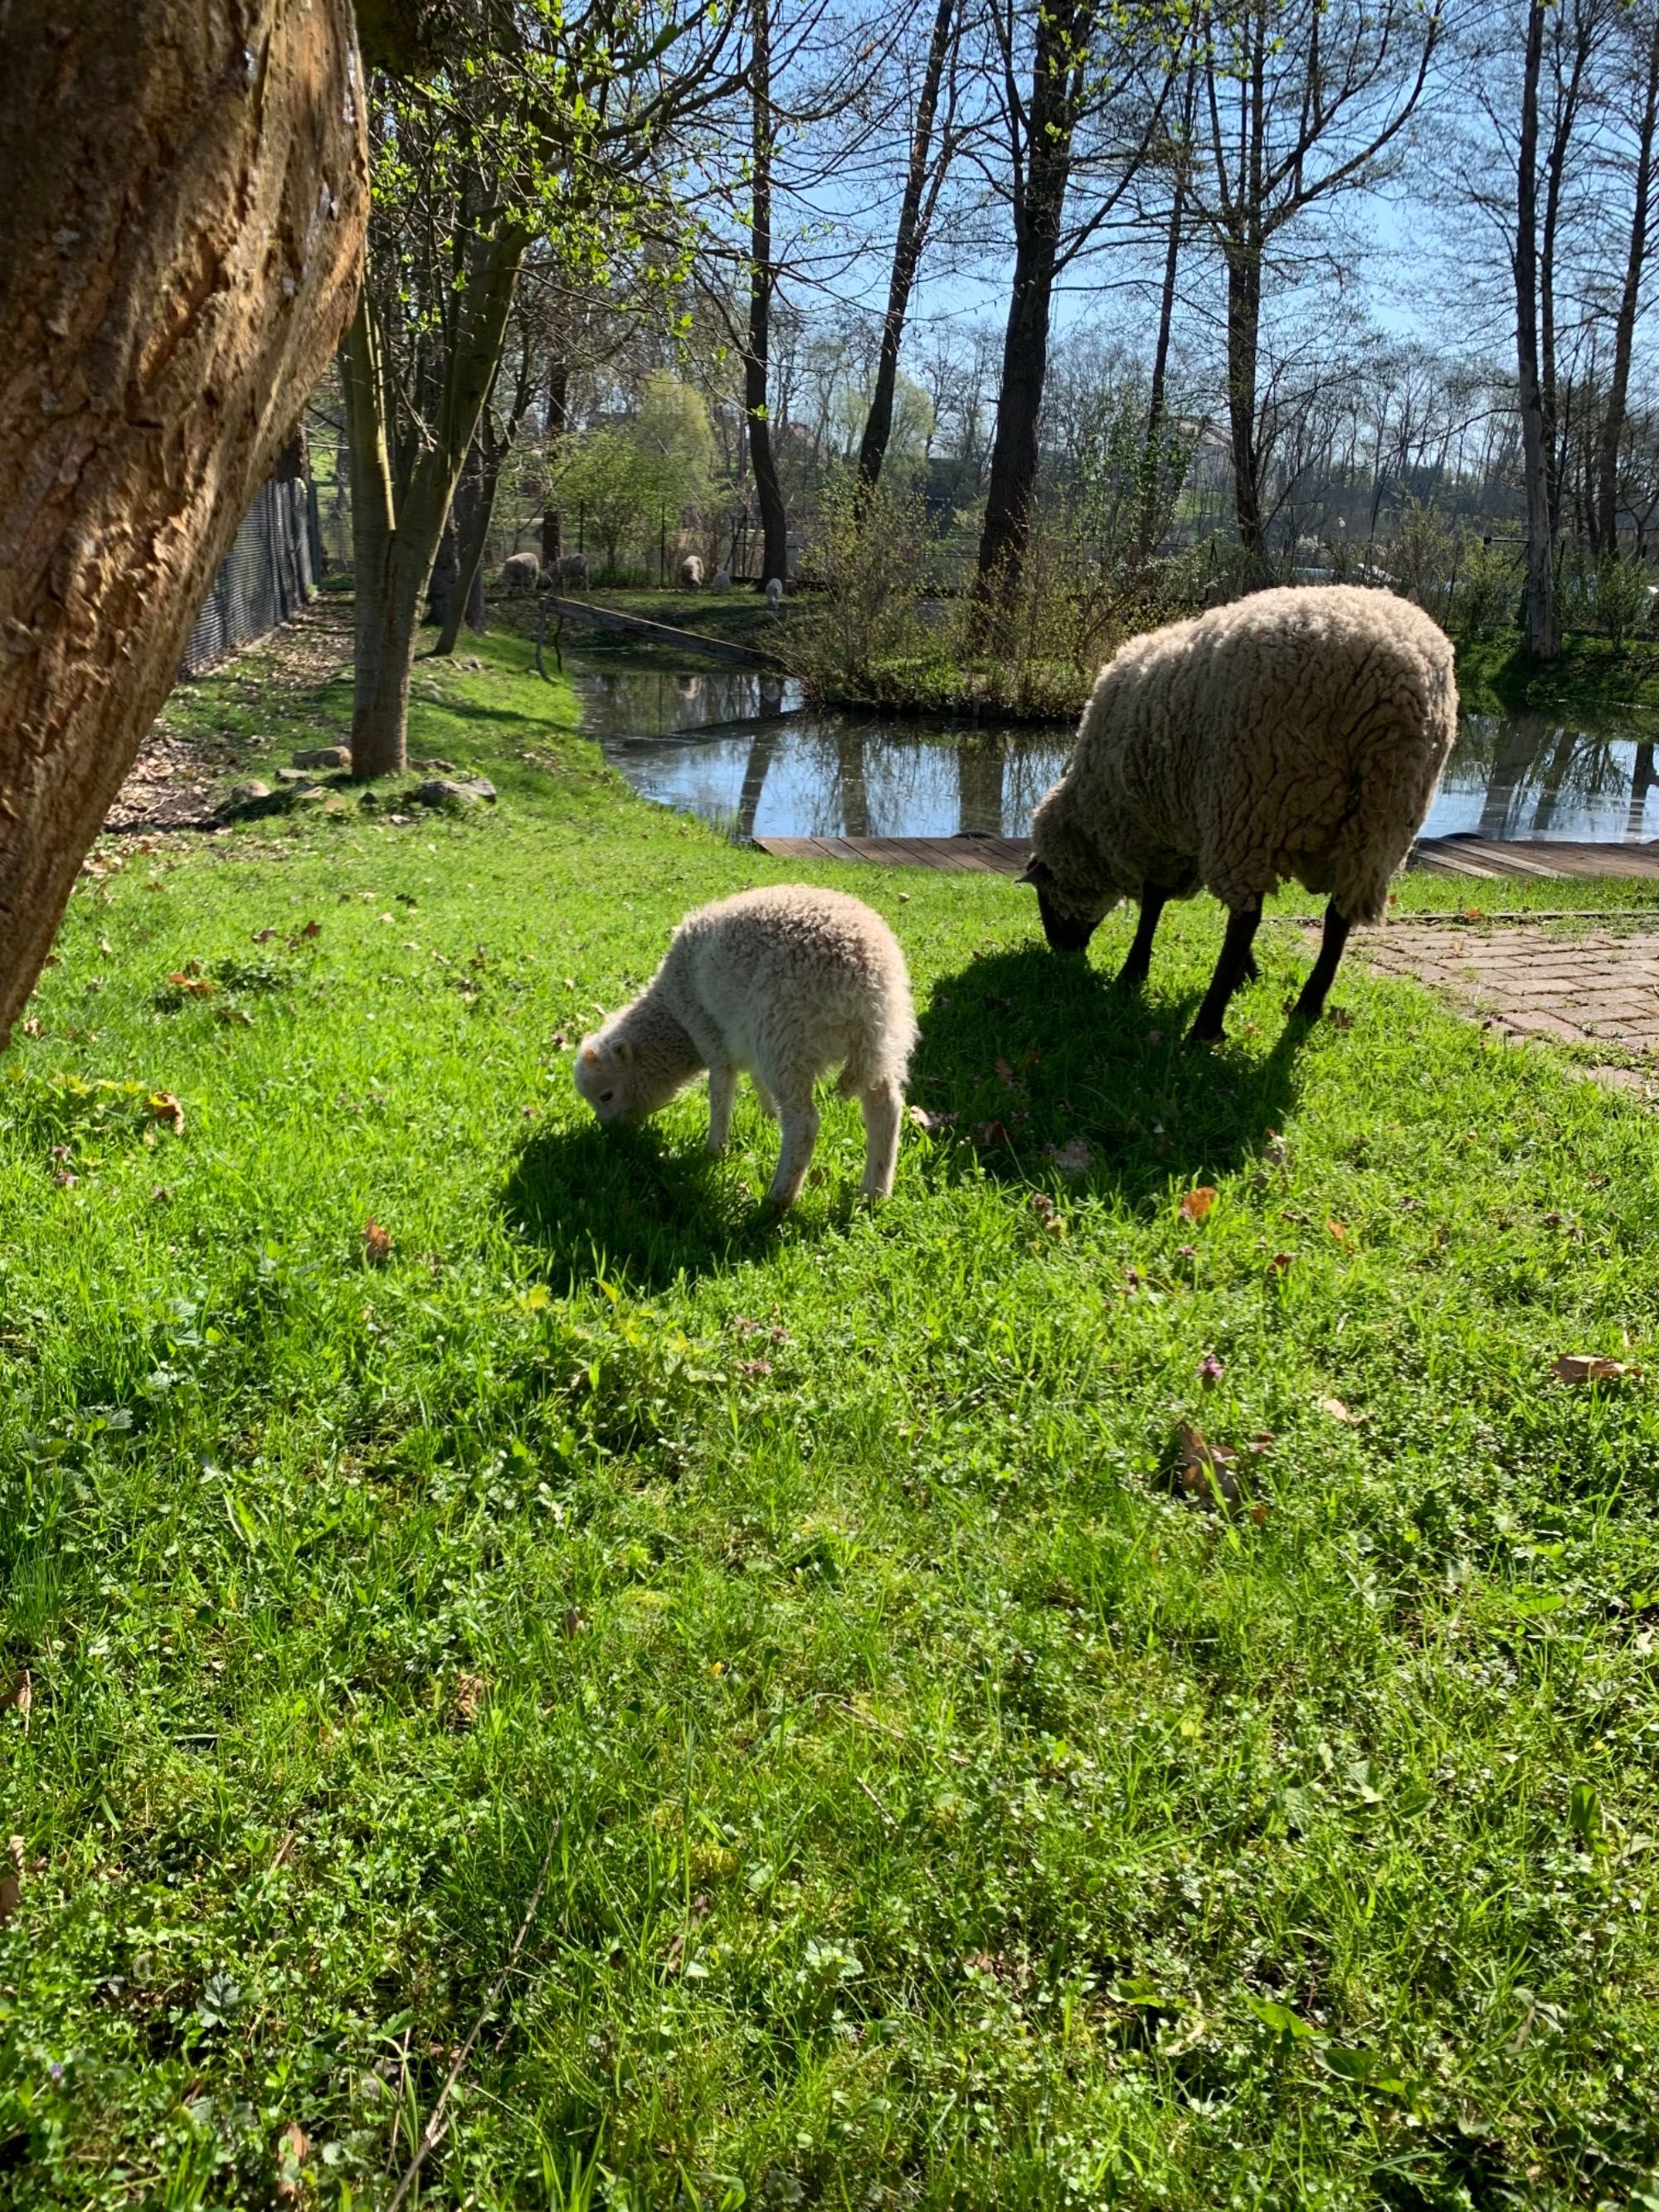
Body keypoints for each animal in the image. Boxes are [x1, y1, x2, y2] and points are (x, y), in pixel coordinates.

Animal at [575, 884, 924, 1212]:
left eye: (606, 1096)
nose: (610, 1136)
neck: (672, 1015)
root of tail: (865, 980)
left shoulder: (708, 1030)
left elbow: (720, 1089)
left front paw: (715, 1148)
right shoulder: (748, 1043)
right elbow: (757, 1081)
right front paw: (768, 1116)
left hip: (786, 1033)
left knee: (804, 1123)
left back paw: (779, 1198)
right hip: (885, 1040)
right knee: (885, 1107)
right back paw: (875, 1191)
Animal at [1022, 584, 1460, 1039]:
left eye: (1044, 894)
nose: (1062, 951)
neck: (1092, 816)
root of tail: (1395, 679)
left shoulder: (1157, 832)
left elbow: (1154, 903)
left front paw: (1134, 971)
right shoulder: (1190, 829)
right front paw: (1247, 973)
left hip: (1254, 801)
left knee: (1246, 916)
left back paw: (1207, 1025)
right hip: (1379, 823)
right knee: (1337, 917)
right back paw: (1307, 1006)